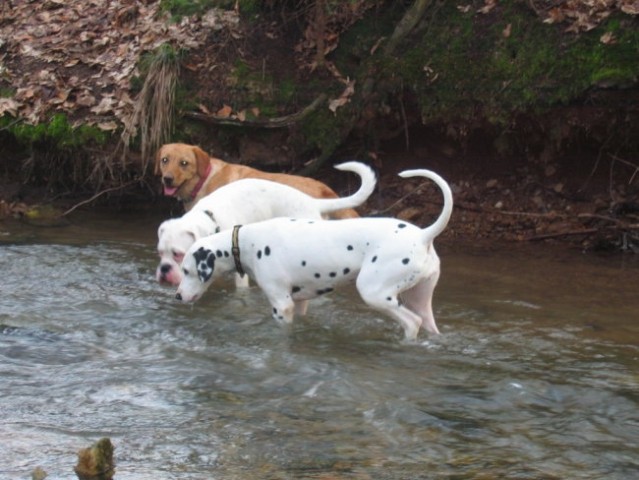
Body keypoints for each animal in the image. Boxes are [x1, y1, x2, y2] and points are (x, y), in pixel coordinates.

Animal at [176, 167, 456, 340]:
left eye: (187, 270)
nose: (177, 296)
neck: (247, 241)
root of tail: (423, 235)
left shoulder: (282, 305)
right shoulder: (300, 303)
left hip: (375, 293)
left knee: (411, 322)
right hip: (419, 300)